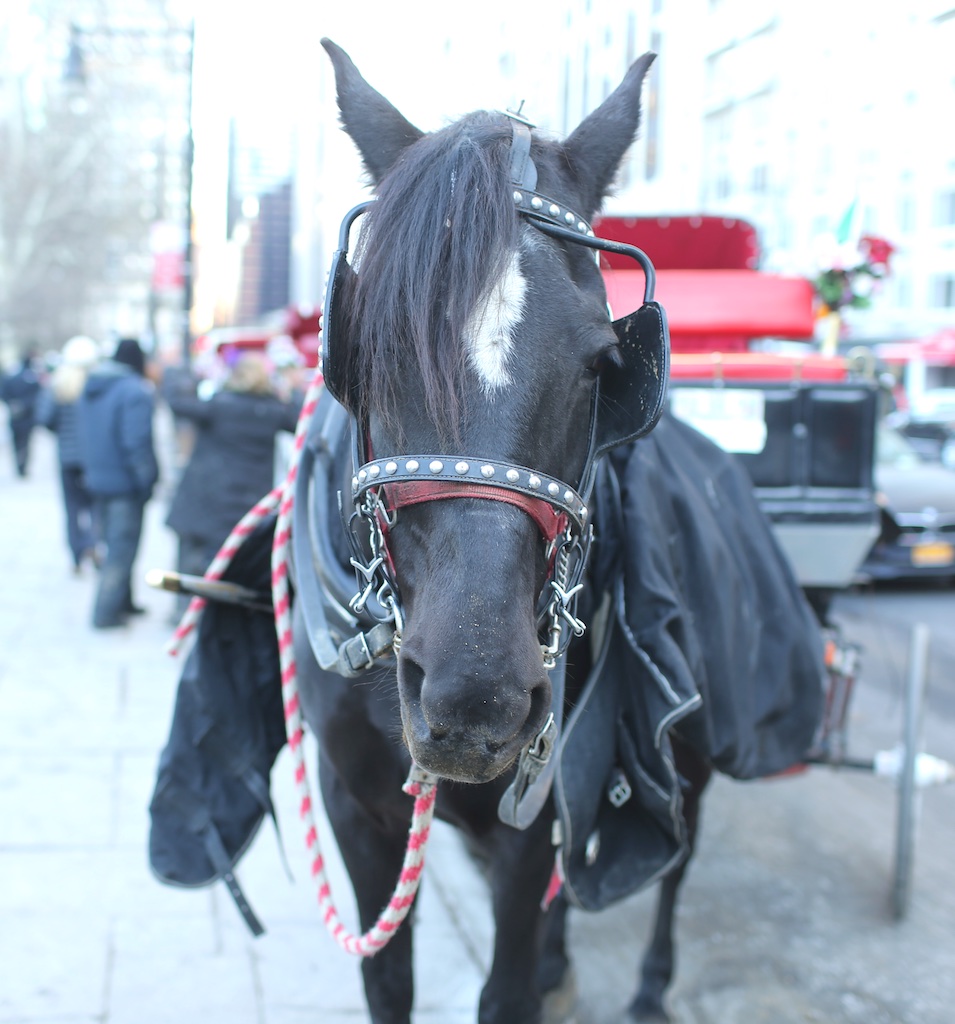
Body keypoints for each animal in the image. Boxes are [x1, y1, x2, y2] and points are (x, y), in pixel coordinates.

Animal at [286, 38, 825, 1024]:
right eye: (367, 342)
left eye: (605, 364)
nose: (476, 697)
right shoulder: (355, 808)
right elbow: (389, 979)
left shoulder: (529, 816)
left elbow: (506, 986)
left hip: (682, 743)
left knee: (675, 854)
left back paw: (646, 986)